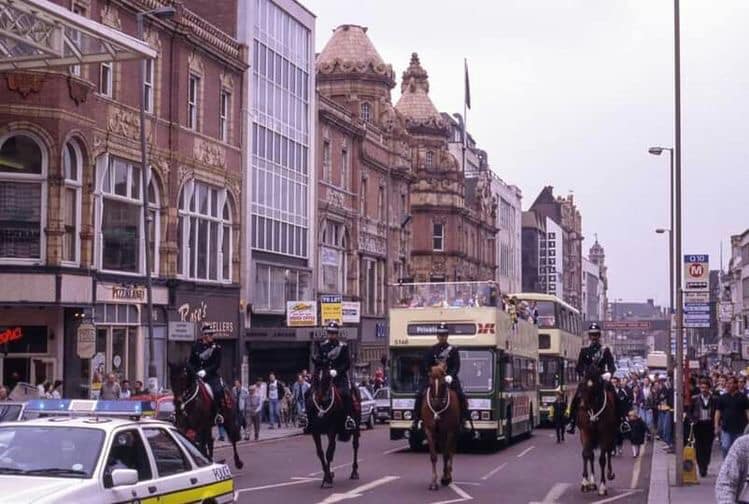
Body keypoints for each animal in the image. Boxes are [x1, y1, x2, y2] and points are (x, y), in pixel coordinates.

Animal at [306, 360, 360, 490]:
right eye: (315, 377)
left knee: (355, 446)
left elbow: (328, 452)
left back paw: (354, 472)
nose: (323, 399)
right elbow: (321, 453)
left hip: (356, 427)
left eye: (327, 377)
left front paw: (327, 479)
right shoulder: (315, 431)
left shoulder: (331, 429)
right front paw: (328, 475)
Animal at [576, 366, 616, 496]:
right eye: (581, 384)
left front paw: (603, 486)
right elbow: (586, 454)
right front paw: (585, 483)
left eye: (593, 387)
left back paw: (609, 474)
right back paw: (592, 483)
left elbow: (602, 459)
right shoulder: (585, 432)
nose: (582, 406)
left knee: (608, 452)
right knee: (590, 455)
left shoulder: (605, 434)